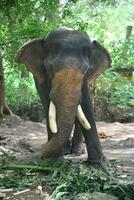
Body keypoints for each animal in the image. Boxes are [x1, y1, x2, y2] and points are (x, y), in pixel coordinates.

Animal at [15, 27, 111, 164]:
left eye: (86, 71)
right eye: (50, 68)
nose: (42, 152)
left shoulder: (87, 82)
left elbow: (86, 106)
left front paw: (98, 163)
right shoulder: (41, 79)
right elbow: (47, 104)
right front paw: (55, 160)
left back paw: (77, 151)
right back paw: (66, 150)